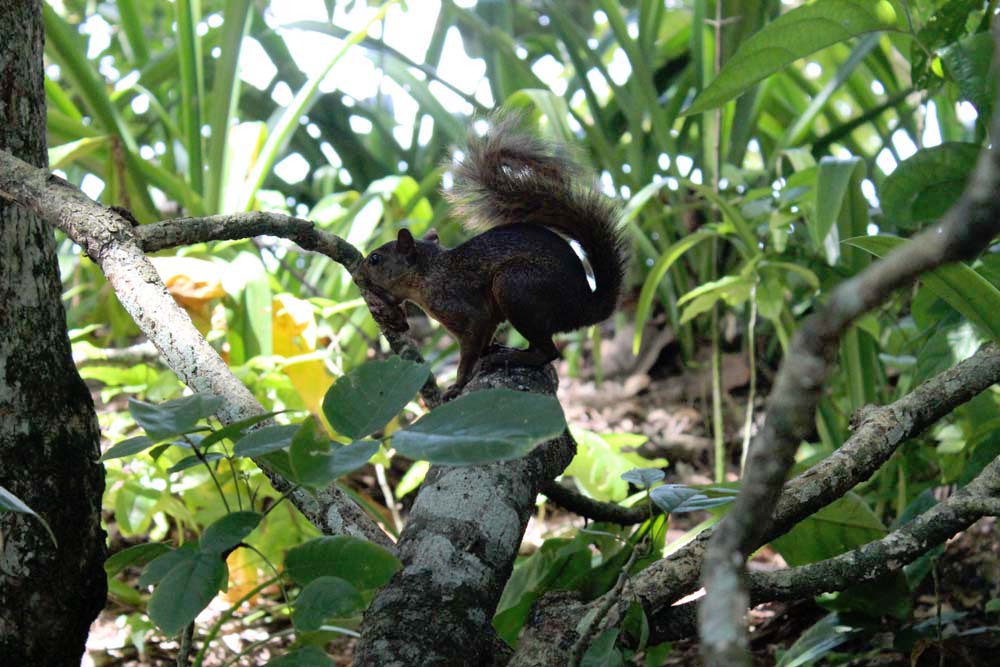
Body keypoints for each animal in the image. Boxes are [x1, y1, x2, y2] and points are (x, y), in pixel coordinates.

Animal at [358, 113, 624, 400]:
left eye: (375, 259)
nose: (359, 271)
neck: (429, 273)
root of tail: (585, 306)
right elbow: (484, 338)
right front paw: (487, 351)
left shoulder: (465, 311)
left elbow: (470, 349)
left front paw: (457, 385)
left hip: (515, 286)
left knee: (549, 352)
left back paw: (512, 357)